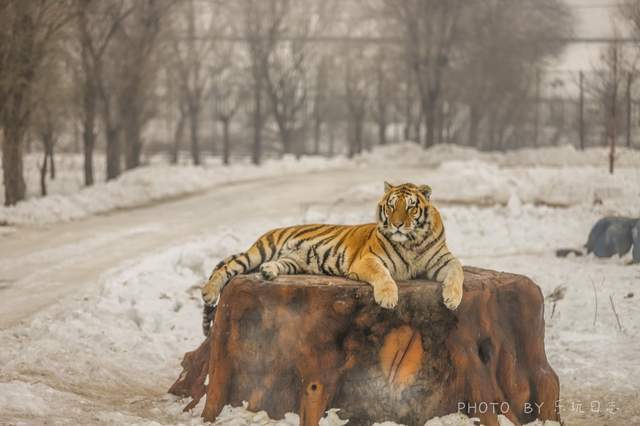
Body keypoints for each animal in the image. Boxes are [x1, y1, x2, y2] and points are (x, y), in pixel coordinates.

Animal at [202, 181, 462, 334]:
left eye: (410, 207)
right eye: (391, 206)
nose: (397, 224)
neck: (411, 242)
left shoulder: (442, 260)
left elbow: (458, 270)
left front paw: (452, 299)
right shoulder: (368, 259)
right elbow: (383, 275)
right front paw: (388, 298)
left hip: (291, 262)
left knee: (274, 265)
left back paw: (268, 272)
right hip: (262, 249)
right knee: (228, 266)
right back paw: (209, 292)